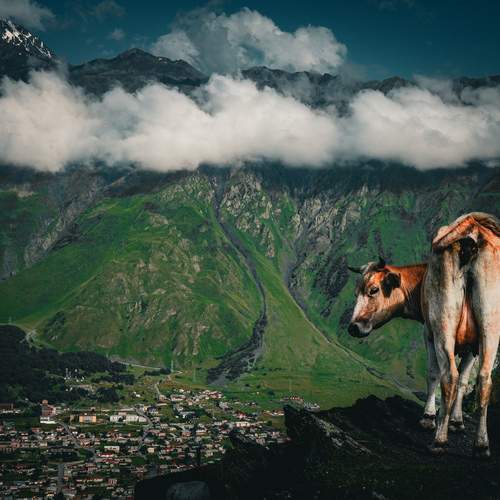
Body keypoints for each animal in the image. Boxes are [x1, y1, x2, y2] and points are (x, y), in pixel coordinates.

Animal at [347, 212, 500, 456]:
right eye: (355, 293)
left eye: (373, 290)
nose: (353, 327)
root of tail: (472, 234)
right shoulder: (472, 347)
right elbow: (465, 380)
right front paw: (457, 421)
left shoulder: (428, 333)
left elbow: (433, 373)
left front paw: (428, 417)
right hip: (491, 325)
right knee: (484, 379)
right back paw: (481, 445)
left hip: (443, 326)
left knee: (449, 374)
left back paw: (439, 440)